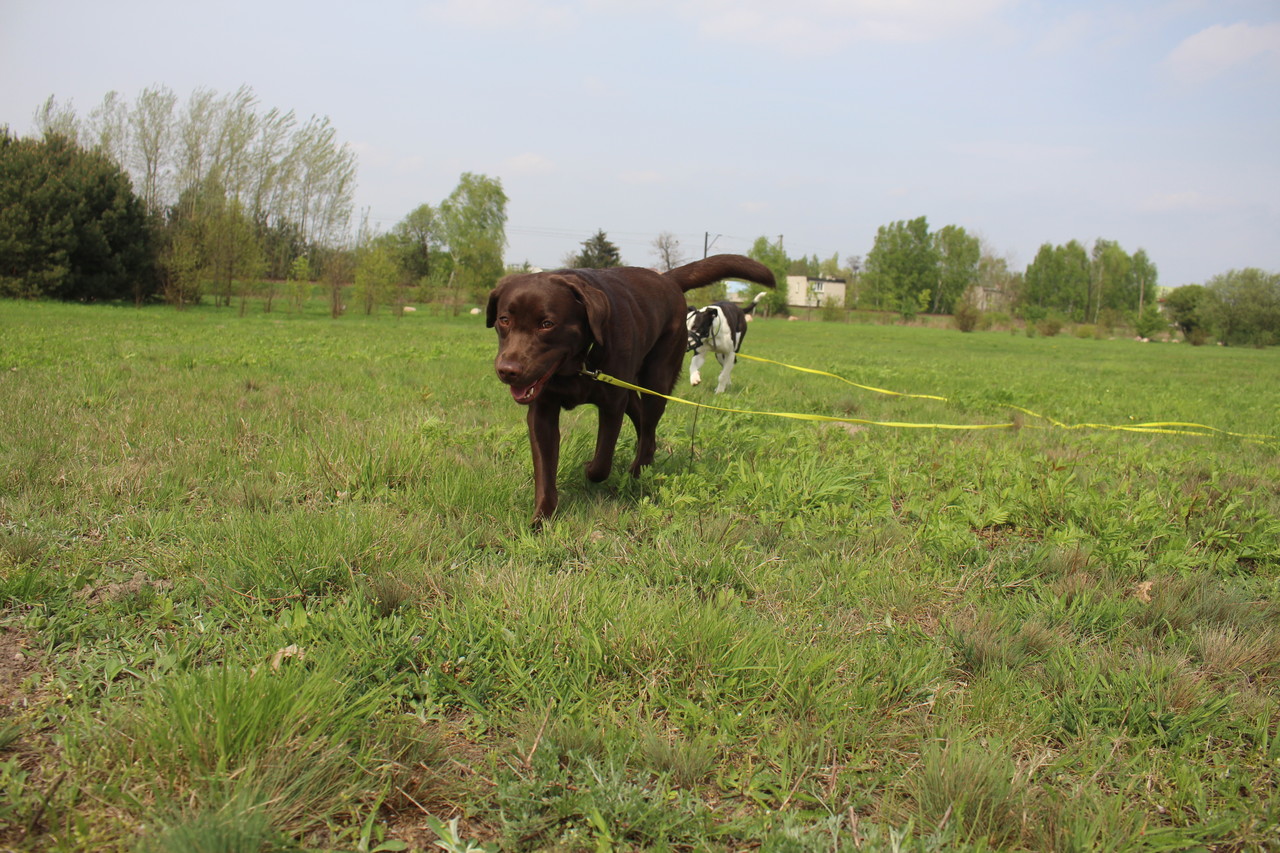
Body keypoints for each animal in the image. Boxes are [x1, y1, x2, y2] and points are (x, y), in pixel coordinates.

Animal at [487, 254, 775, 524]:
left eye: (547, 324)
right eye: (504, 320)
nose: (508, 370)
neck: (580, 363)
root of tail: (667, 278)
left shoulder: (612, 405)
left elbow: (602, 461)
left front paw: (589, 468)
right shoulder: (543, 411)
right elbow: (545, 469)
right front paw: (541, 519)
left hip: (656, 380)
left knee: (648, 431)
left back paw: (637, 471)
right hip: (631, 388)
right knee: (642, 422)